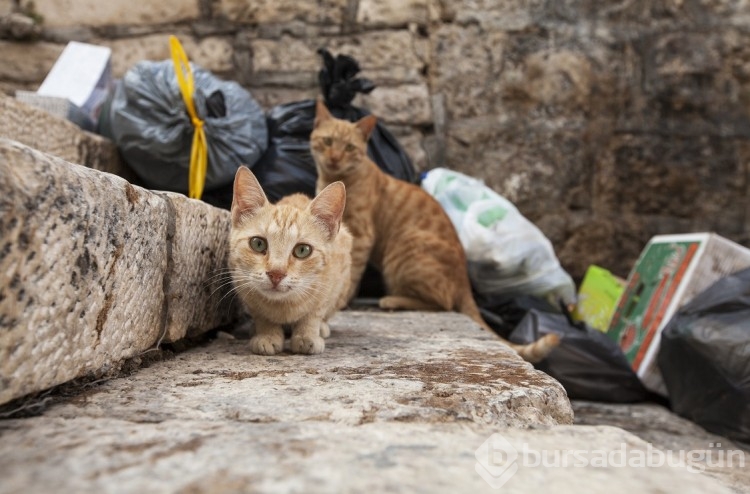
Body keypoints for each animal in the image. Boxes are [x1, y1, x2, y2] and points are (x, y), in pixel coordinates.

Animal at [228, 166, 354, 356]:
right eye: (258, 243)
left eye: (302, 250)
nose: (276, 273)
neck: (283, 306)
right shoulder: (243, 285)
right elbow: (262, 315)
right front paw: (267, 334)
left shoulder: (329, 283)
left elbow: (314, 312)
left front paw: (307, 335)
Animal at [308, 100, 560, 362]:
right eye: (328, 142)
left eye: (349, 147)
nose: (335, 158)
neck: (337, 177)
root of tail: (464, 279)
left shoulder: (362, 236)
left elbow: (353, 273)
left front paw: (342, 300)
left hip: (403, 251)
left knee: (444, 302)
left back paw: (392, 300)